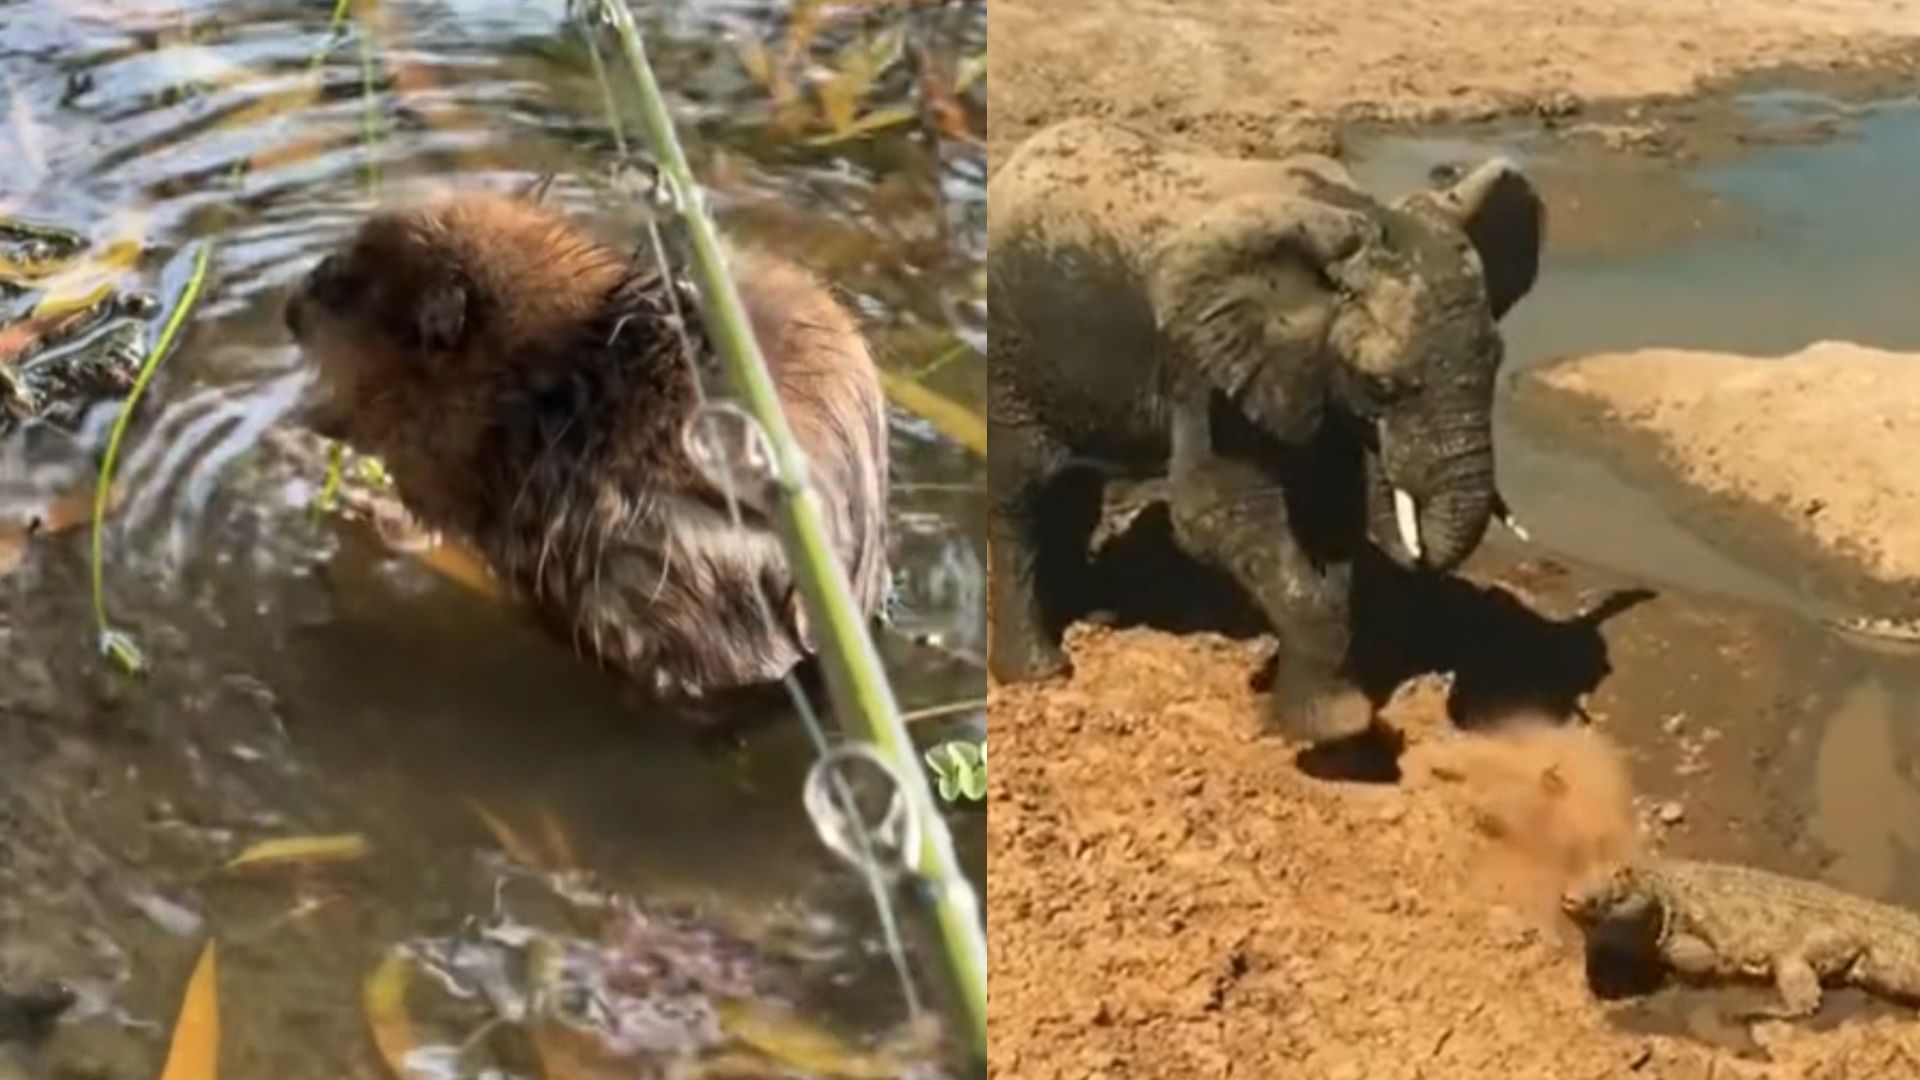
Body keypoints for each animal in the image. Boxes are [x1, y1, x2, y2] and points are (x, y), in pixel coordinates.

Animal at [990, 117, 1543, 737]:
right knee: (1022, 495)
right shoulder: (1206, 368)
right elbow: (1218, 516)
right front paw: (1338, 728)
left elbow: (1329, 515)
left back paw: (1095, 612)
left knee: (1073, 489)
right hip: (1009, 347)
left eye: (1498, 360)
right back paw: (1040, 672)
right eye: (1381, 385)